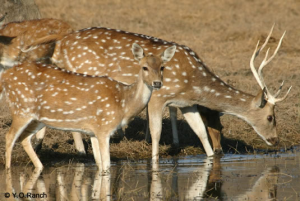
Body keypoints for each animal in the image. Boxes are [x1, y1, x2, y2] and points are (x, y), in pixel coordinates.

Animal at [0, 42, 176, 173]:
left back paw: (40, 167)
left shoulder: (93, 130)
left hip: (37, 118)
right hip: (20, 108)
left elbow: (100, 165)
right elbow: (106, 165)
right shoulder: (104, 128)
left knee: (24, 138)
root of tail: (5, 77)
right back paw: (8, 170)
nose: (157, 83)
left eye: (162, 67)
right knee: (9, 137)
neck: (123, 103)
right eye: (144, 67)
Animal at [47, 25, 290, 169]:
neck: (193, 82)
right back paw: (81, 151)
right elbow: (156, 132)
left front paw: (211, 157)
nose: (275, 140)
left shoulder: (187, 104)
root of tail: (58, 48)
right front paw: (154, 162)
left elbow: (200, 132)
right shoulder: (158, 97)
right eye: (271, 117)